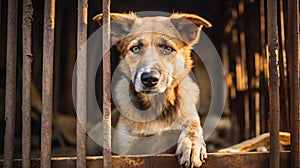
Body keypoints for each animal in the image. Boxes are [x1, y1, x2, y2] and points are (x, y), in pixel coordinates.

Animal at [93, 12, 211, 167]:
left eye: (168, 49)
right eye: (135, 48)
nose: (149, 79)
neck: (157, 106)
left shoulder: (189, 117)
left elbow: (192, 124)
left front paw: (191, 145)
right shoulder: (127, 150)